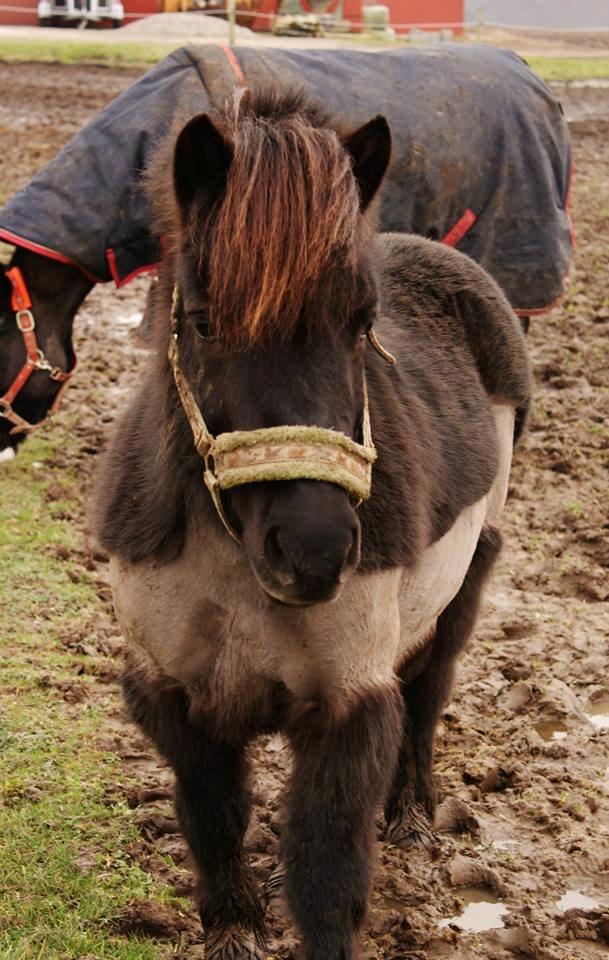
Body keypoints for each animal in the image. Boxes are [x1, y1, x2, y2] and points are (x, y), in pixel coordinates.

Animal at [94, 90, 528, 960]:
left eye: (362, 324)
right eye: (202, 321)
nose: (315, 552)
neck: (232, 566)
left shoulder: (345, 709)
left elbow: (325, 870)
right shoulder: (175, 701)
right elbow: (214, 820)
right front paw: (233, 927)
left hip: (468, 583)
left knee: (426, 696)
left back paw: (412, 816)